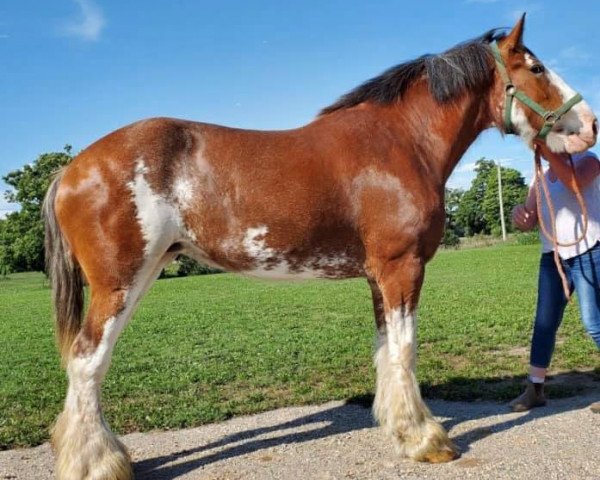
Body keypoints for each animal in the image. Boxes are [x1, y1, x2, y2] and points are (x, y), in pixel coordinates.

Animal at [42, 15, 596, 480]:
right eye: (536, 67)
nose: (589, 125)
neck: (400, 143)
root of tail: (71, 169)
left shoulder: (378, 275)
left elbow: (385, 351)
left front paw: (398, 428)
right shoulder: (402, 267)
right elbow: (405, 349)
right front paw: (427, 440)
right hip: (120, 282)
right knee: (87, 362)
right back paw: (100, 463)